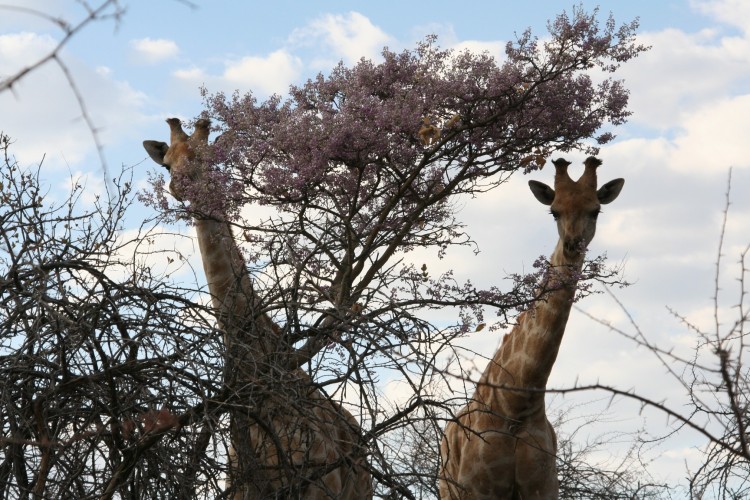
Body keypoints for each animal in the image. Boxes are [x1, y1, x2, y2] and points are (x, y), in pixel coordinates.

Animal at [438, 157, 624, 500]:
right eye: (554, 211)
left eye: (595, 210)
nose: (572, 245)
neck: (518, 404)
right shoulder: (479, 491)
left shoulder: (544, 488)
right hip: (447, 491)